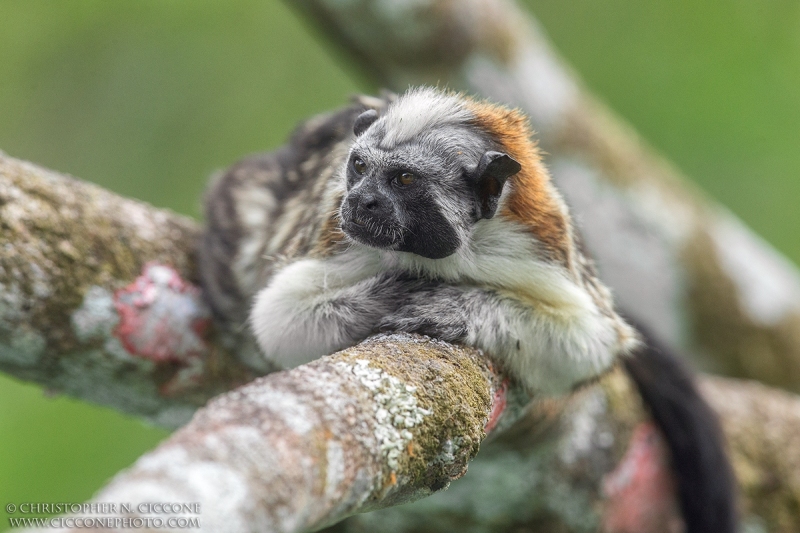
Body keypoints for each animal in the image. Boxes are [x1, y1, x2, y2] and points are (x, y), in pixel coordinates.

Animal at [200, 88, 736, 532]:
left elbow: (590, 341)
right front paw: (398, 294)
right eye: (358, 168)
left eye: (403, 178)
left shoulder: (539, 244)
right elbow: (280, 321)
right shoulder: (339, 232)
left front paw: (446, 306)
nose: (361, 200)